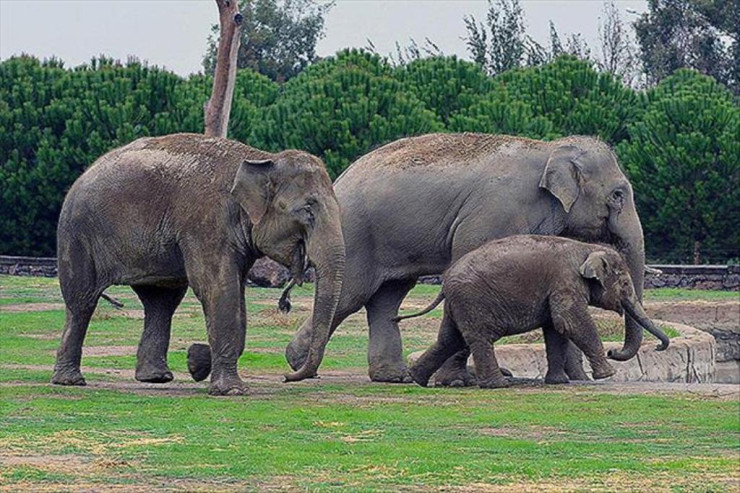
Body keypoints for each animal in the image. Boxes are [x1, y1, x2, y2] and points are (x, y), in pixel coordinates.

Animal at [50, 133, 346, 394]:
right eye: (307, 210)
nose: (285, 376)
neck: (262, 158)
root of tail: (84, 173)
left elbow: (235, 294)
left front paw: (196, 362)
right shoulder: (205, 224)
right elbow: (217, 289)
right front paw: (231, 390)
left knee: (161, 302)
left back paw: (156, 377)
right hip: (77, 235)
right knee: (82, 301)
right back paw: (70, 381)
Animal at [398, 234, 672, 388]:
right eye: (624, 284)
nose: (612, 351)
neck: (586, 248)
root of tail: (445, 282)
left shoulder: (556, 287)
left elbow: (555, 329)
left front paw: (559, 382)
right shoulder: (565, 281)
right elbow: (570, 322)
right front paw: (607, 374)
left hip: (458, 305)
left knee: (449, 339)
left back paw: (417, 379)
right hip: (472, 301)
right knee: (478, 338)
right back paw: (498, 385)